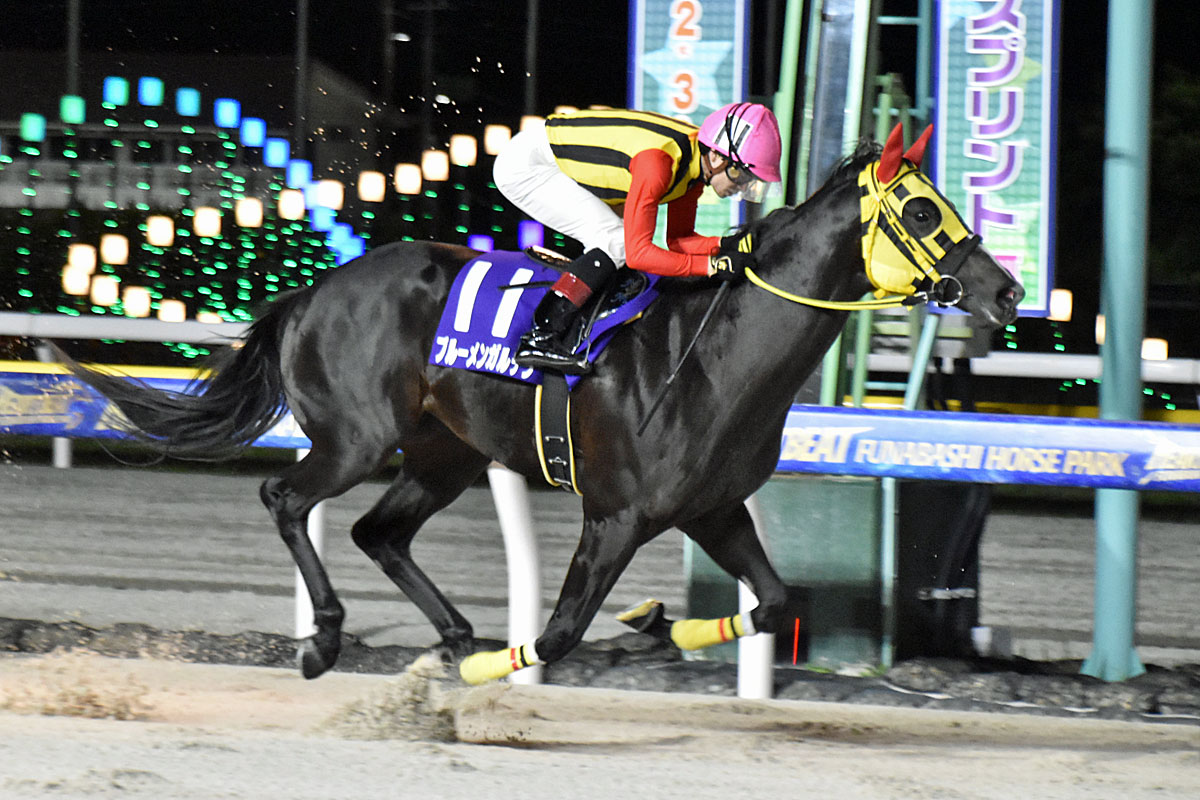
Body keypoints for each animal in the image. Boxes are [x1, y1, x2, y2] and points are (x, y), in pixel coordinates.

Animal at [54, 127, 1024, 684]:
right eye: (924, 214)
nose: (1007, 291)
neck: (713, 354)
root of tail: (314, 290)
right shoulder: (616, 513)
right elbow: (556, 637)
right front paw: (516, 661)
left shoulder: (711, 508)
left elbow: (778, 603)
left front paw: (657, 623)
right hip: (358, 439)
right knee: (286, 498)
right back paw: (328, 641)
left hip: (444, 455)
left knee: (378, 532)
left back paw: (451, 636)